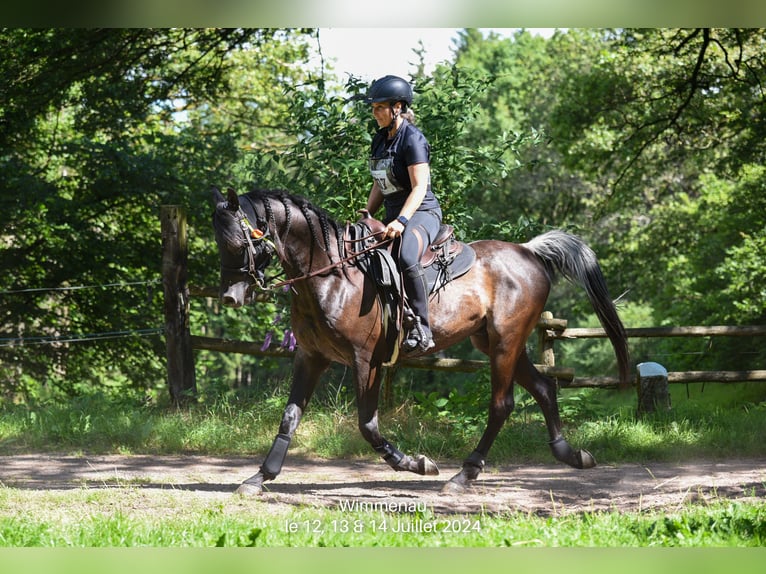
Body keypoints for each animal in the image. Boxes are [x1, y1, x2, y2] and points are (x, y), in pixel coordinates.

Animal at [212, 187, 632, 498]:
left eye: (240, 242)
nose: (231, 297)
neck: (332, 275)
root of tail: (529, 251)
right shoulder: (311, 357)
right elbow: (290, 416)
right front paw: (259, 477)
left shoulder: (366, 361)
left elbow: (368, 425)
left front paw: (416, 464)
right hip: (497, 343)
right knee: (544, 387)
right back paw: (570, 454)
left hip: (505, 343)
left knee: (502, 404)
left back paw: (464, 475)